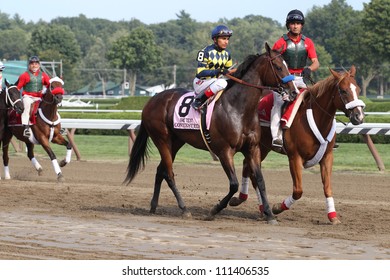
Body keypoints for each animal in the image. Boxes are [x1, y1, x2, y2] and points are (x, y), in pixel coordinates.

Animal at [123, 43, 298, 223]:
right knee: (169, 174)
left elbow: (261, 180)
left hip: (176, 141)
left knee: (161, 171)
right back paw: (184, 209)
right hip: (162, 139)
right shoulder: (224, 151)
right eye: (278, 67)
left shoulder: (252, 148)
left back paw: (153, 206)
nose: (293, 92)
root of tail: (151, 101)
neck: (238, 108)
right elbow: (234, 184)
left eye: (287, 65)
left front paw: (270, 214)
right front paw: (214, 210)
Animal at [229, 65, 366, 225]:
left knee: (248, 167)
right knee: (252, 172)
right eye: (343, 91)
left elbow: (327, 187)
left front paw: (333, 216)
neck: (316, 119)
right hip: (259, 146)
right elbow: (298, 191)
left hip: (261, 147)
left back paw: (249, 202)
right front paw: (277, 207)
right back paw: (260, 207)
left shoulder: (327, 156)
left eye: (358, 89)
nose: (359, 116)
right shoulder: (294, 157)